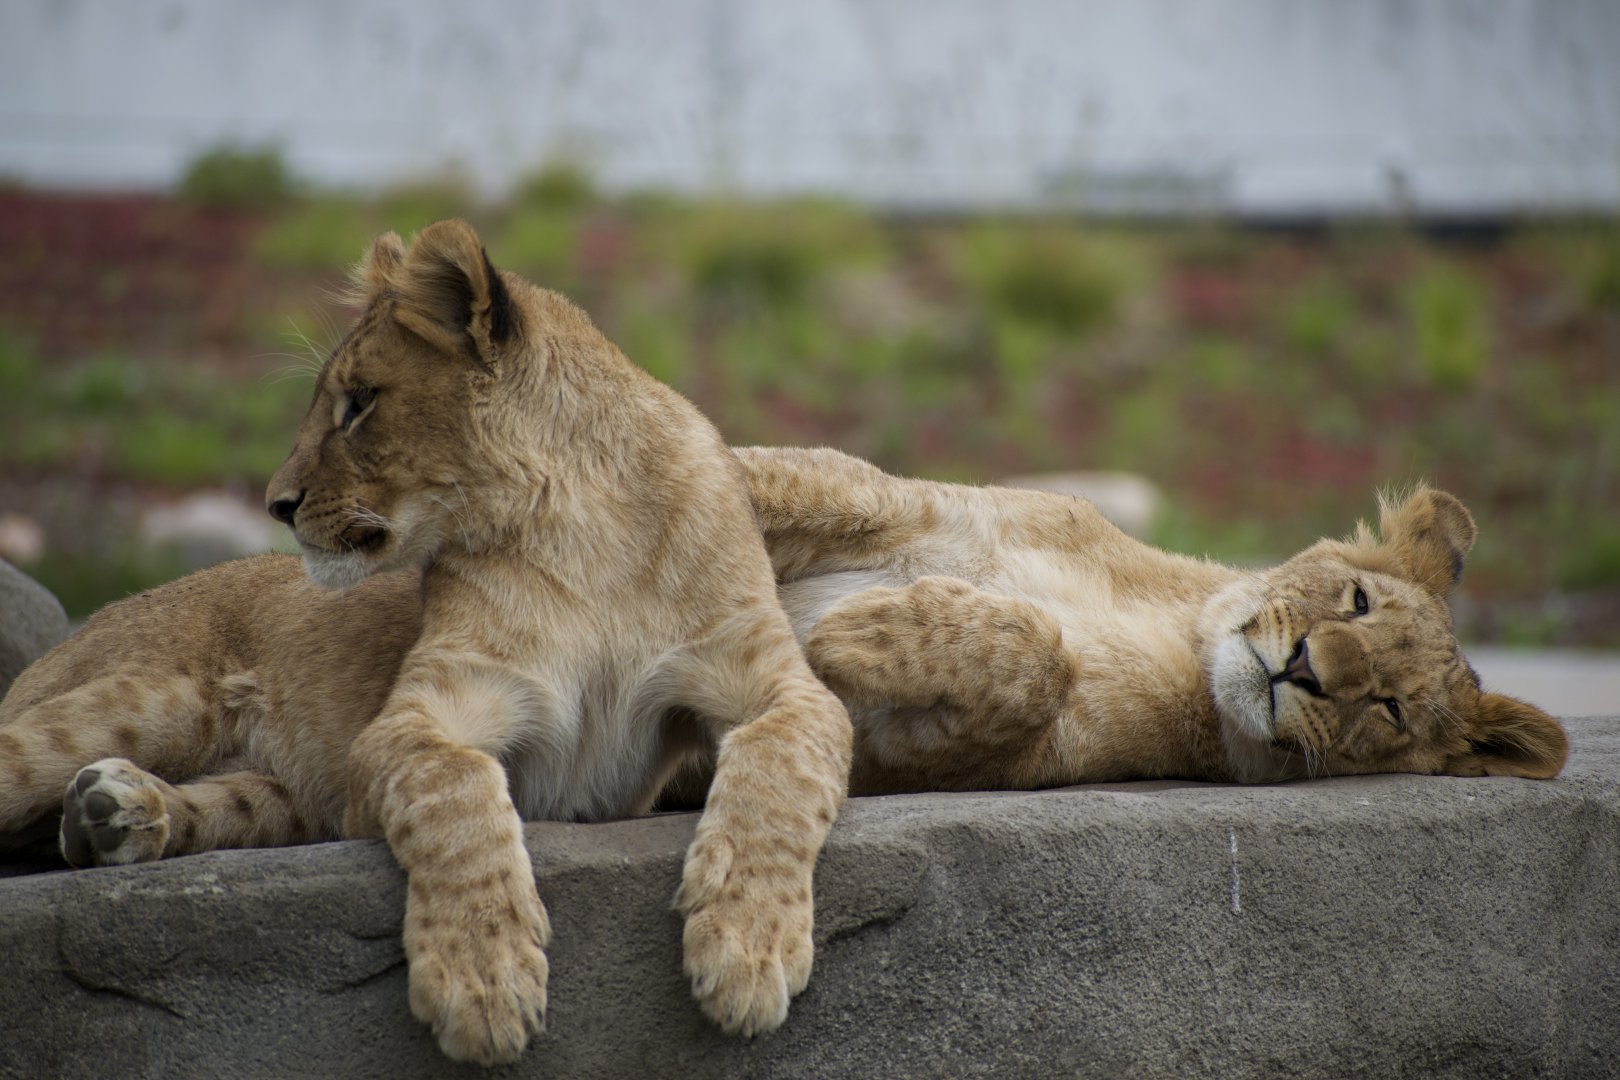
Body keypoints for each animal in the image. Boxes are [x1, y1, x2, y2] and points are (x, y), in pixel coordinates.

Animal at [0, 221, 853, 1066]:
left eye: (360, 403)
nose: (276, 504)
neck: (582, 532)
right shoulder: (413, 718)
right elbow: (456, 794)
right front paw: (484, 983)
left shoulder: (780, 684)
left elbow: (779, 770)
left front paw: (745, 947)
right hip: (155, 702)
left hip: (285, 801)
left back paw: (114, 815)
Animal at [736, 446, 1567, 792]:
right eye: (1358, 601)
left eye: (1390, 709)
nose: (1306, 666)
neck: (1165, 618)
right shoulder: (898, 503)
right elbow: (760, 476)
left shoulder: (973, 762)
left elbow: (1038, 657)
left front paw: (859, 632)